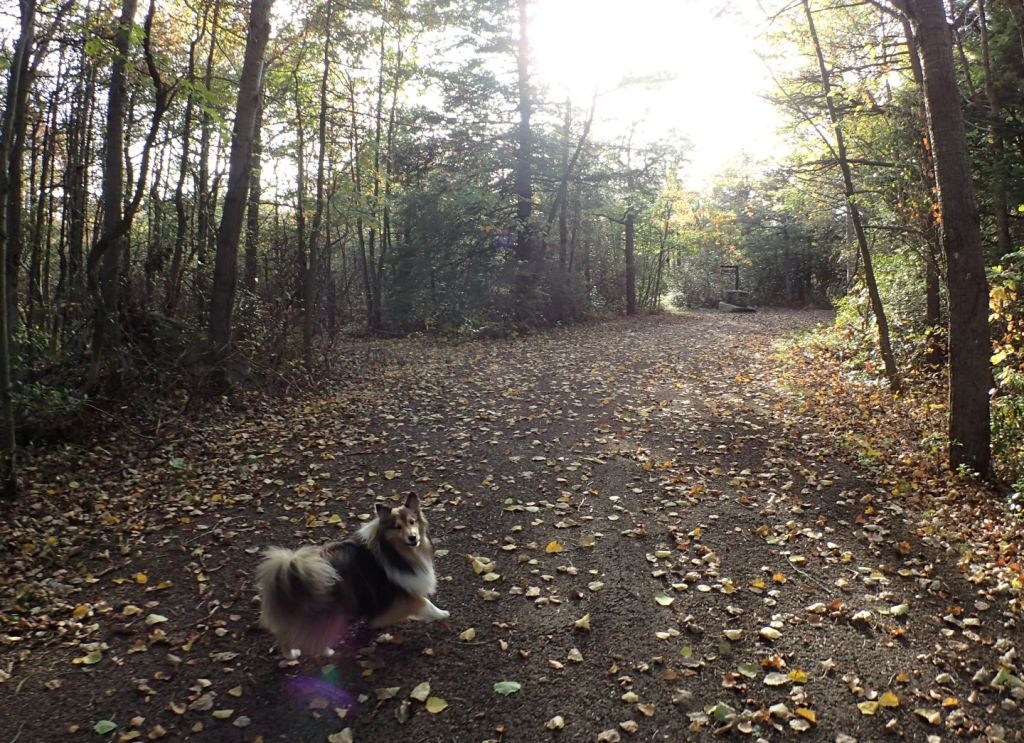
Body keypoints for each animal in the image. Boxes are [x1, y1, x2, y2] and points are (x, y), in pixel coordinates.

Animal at [256, 495, 448, 659]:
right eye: (397, 527)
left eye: (412, 522)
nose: (413, 537)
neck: (394, 551)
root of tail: (288, 573)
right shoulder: (398, 595)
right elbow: (425, 603)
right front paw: (442, 614)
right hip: (323, 611)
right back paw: (326, 652)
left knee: (286, 635)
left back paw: (292, 654)